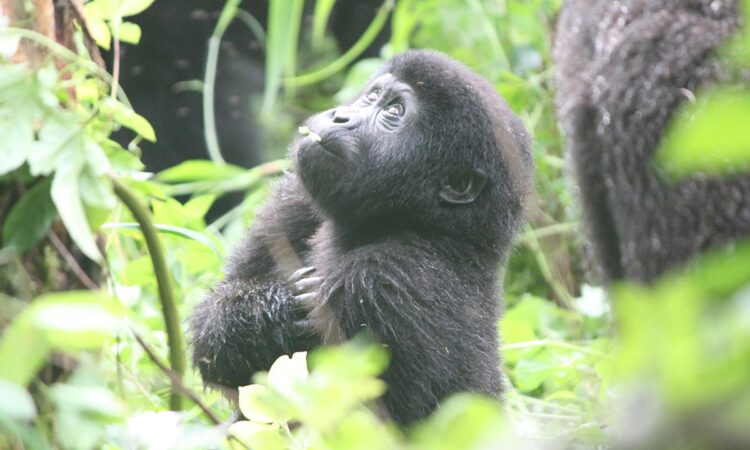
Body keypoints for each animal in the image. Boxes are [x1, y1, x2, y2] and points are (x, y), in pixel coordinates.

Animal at [188, 50, 534, 425]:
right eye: (373, 95)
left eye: (394, 111)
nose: (340, 115)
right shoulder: (290, 200)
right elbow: (215, 339)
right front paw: (270, 313)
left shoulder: (387, 281)